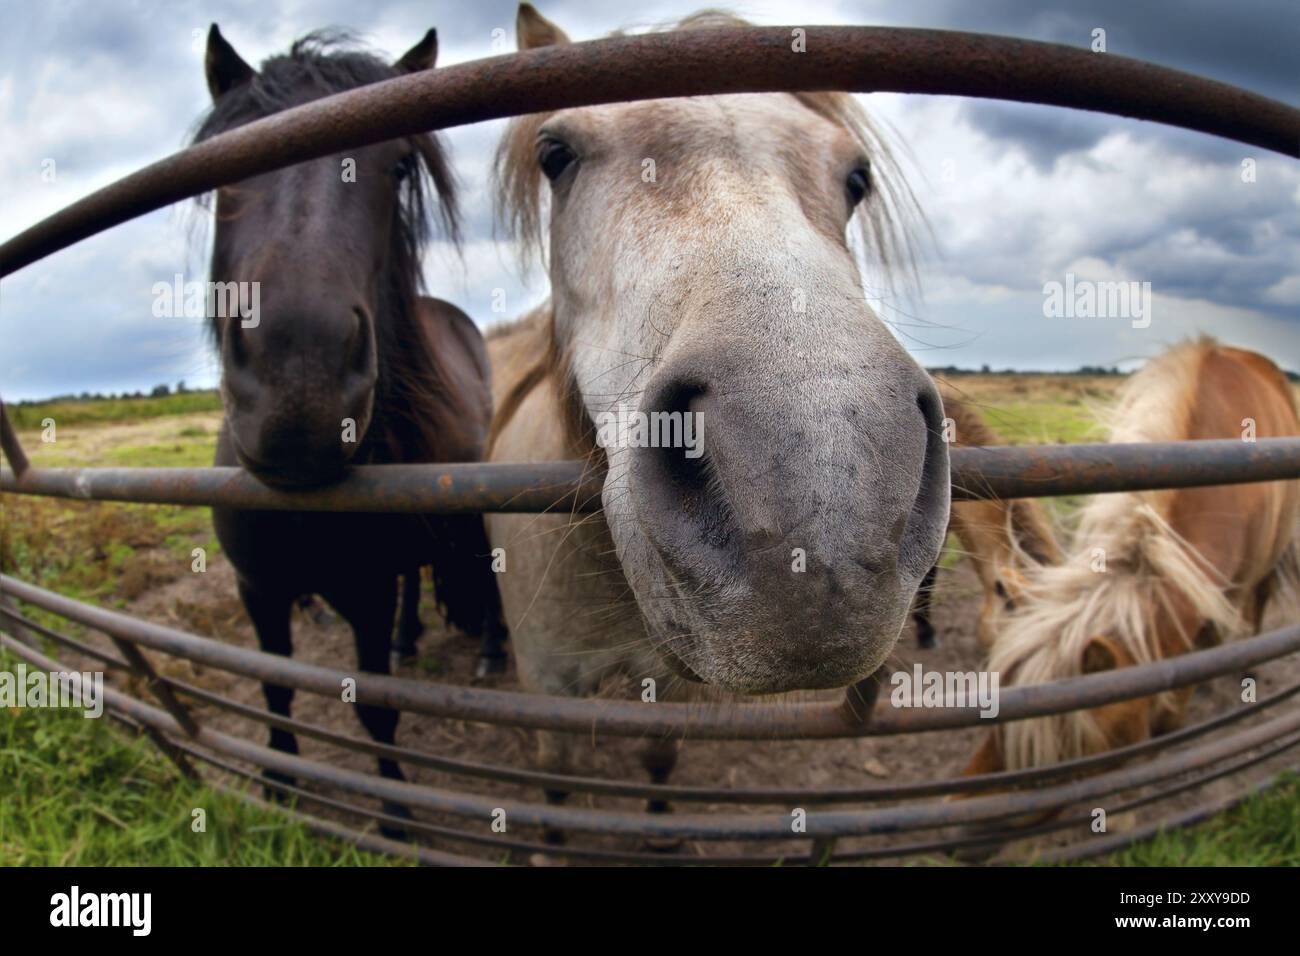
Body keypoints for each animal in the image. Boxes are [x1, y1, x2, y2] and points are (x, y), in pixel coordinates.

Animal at [198, 22, 506, 832]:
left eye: (396, 166)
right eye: (227, 163)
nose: (298, 382)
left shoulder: (362, 593)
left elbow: (376, 713)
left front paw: (394, 815)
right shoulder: (257, 589)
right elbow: (275, 687)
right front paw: (280, 783)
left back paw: (491, 651)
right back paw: (409, 641)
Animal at [483, 1, 951, 837]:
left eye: (856, 177)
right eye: (555, 154)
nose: (820, 514)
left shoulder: (670, 688)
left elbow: (660, 758)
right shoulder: (547, 686)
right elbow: (556, 784)